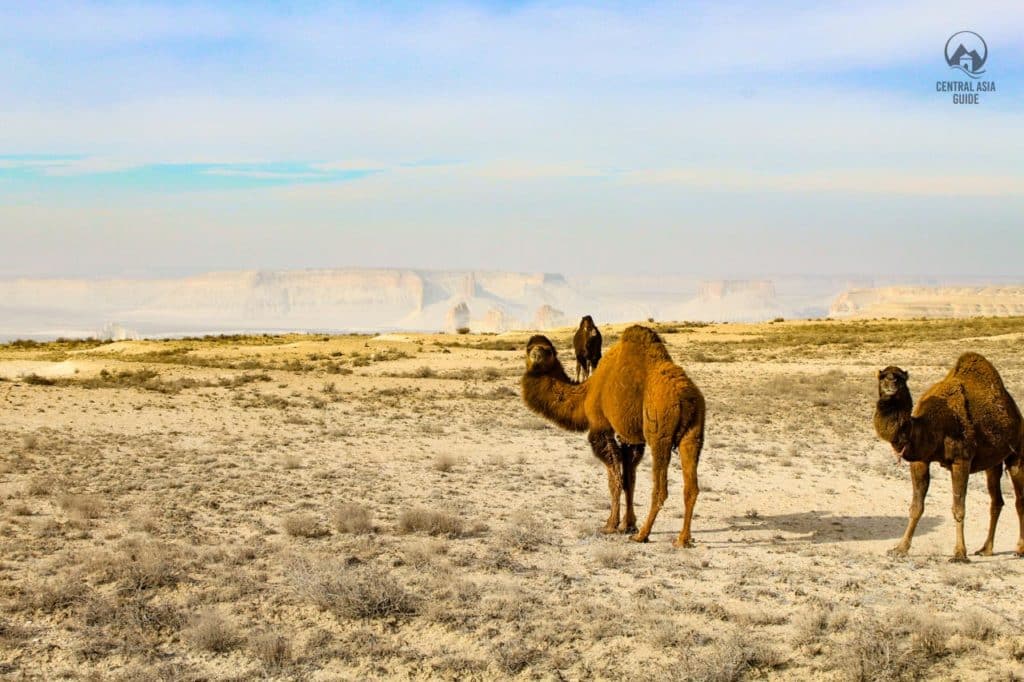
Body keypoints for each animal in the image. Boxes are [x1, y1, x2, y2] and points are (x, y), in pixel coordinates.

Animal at [520, 323, 704, 540]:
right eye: (528, 348)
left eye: (547, 350)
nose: (536, 355)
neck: (585, 394)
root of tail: (686, 395)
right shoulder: (630, 437)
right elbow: (629, 480)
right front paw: (628, 525)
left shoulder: (601, 428)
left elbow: (614, 479)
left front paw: (611, 525)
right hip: (694, 431)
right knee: (691, 487)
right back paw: (682, 540)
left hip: (660, 431)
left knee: (660, 488)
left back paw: (642, 535)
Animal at [872, 352, 1024, 561]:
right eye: (882, 376)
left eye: (901, 378)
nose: (890, 384)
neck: (931, 426)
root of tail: (1017, 413)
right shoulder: (920, 460)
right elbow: (916, 507)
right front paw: (900, 548)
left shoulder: (961, 460)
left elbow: (959, 508)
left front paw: (960, 554)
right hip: (993, 463)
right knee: (997, 500)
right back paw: (986, 549)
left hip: (1017, 453)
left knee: (1019, 499)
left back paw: (1019, 549)